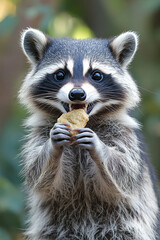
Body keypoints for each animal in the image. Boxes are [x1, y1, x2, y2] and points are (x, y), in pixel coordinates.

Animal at [19, 28, 159, 240]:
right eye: (60, 74)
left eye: (96, 75)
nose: (77, 94)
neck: (90, 119)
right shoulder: (39, 132)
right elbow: (40, 175)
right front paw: (52, 146)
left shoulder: (125, 135)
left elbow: (124, 174)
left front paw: (100, 148)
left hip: (125, 228)